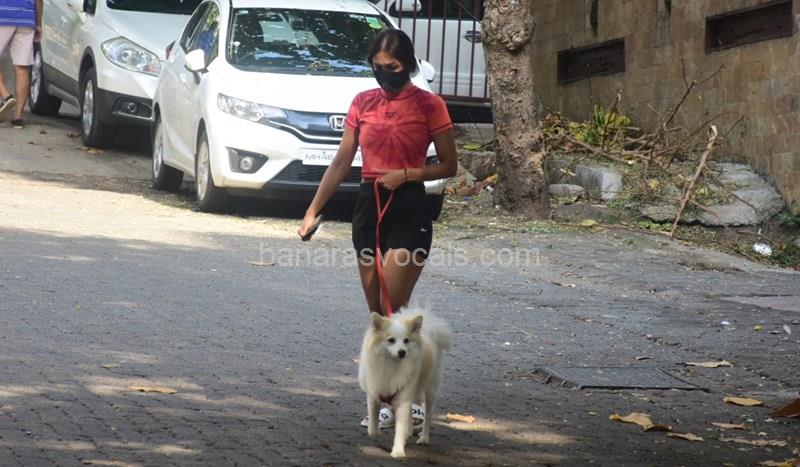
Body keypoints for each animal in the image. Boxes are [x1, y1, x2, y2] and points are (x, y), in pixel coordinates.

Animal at [358, 307, 453, 458]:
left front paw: (398, 450)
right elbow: (372, 428)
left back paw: (424, 438)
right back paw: (409, 433)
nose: (402, 352)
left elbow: (400, 427)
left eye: (406, 341)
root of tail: (429, 329)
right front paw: (377, 432)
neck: (391, 365)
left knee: (428, 414)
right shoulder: (373, 395)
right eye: (391, 340)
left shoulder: (402, 399)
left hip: (429, 389)